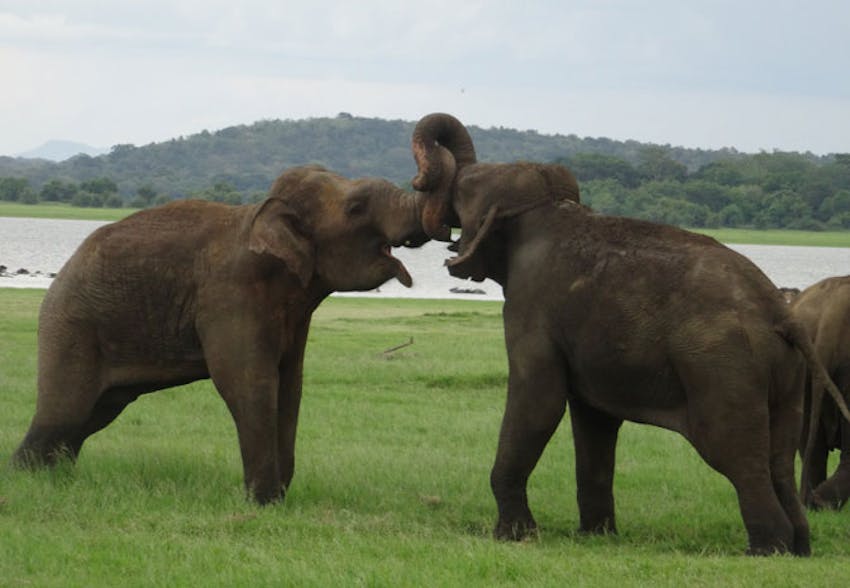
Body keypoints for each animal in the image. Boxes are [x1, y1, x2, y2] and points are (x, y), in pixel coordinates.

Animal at [11, 164, 432, 505]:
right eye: (356, 208)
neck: (260, 215)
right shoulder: (229, 294)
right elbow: (247, 382)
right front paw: (263, 504)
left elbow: (290, 384)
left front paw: (278, 497)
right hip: (72, 326)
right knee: (65, 412)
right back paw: (28, 479)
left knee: (93, 413)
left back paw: (53, 477)